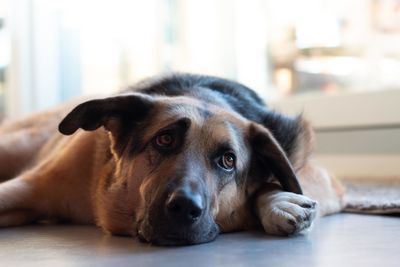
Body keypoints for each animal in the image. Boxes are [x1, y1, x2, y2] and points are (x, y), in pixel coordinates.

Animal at [0, 74, 344, 246]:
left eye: (228, 160)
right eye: (164, 140)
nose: (185, 207)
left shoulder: (323, 178)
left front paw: (277, 201)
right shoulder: (27, 187)